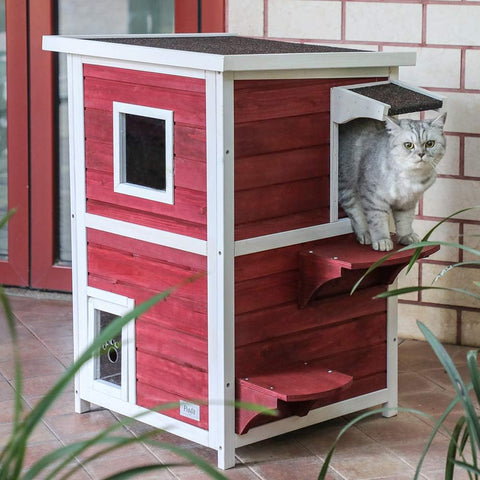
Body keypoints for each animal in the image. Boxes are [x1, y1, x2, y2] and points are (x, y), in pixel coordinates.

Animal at [338, 114, 446, 251]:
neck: (410, 177)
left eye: (430, 143)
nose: (421, 154)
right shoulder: (373, 198)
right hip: (346, 186)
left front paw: (407, 236)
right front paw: (382, 240)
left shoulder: (408, 202)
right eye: (408, 145)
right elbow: (377, 220)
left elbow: (405, 221)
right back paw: (365, 234)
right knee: (355, 211)